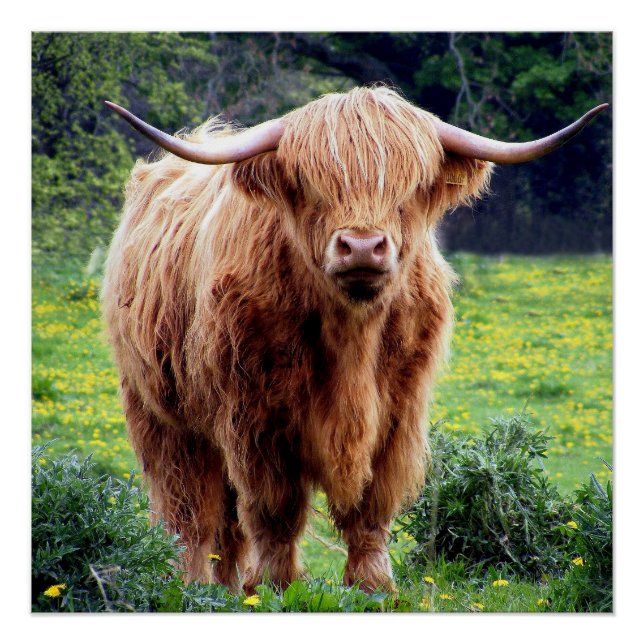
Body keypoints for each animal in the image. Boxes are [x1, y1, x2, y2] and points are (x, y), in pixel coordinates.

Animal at [102, 86, 606, 594]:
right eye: (310, 184)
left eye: (409, 187)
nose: (363, 247)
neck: (352, 339)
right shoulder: (255, 418)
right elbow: (274, 508)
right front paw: (274, 586)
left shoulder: (398, 414)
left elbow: (371, 505)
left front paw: (374, 586)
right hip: (161, 415)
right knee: (187, 510)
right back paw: (189, 584)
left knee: (224, 522)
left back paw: (225, 586)